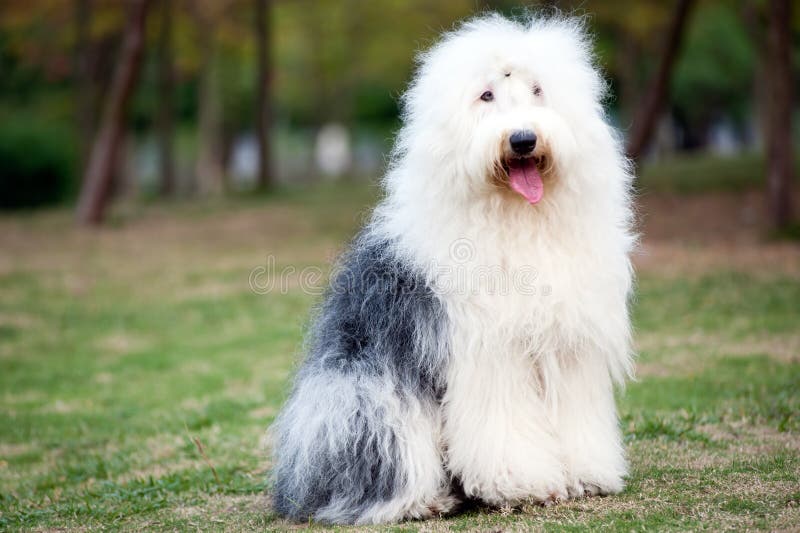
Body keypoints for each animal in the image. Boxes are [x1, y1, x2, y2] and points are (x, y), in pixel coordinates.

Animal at [270, 12, 636, 524]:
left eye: (538, 90)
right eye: (486, 96)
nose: (523, 139)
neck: (519, 219)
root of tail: (294, 488)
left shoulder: (570, 344)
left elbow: (574, 411)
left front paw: (587, 474)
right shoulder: (489, 347)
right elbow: (504, 423)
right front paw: (525, 484)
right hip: (365, 395)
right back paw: (427, 500)